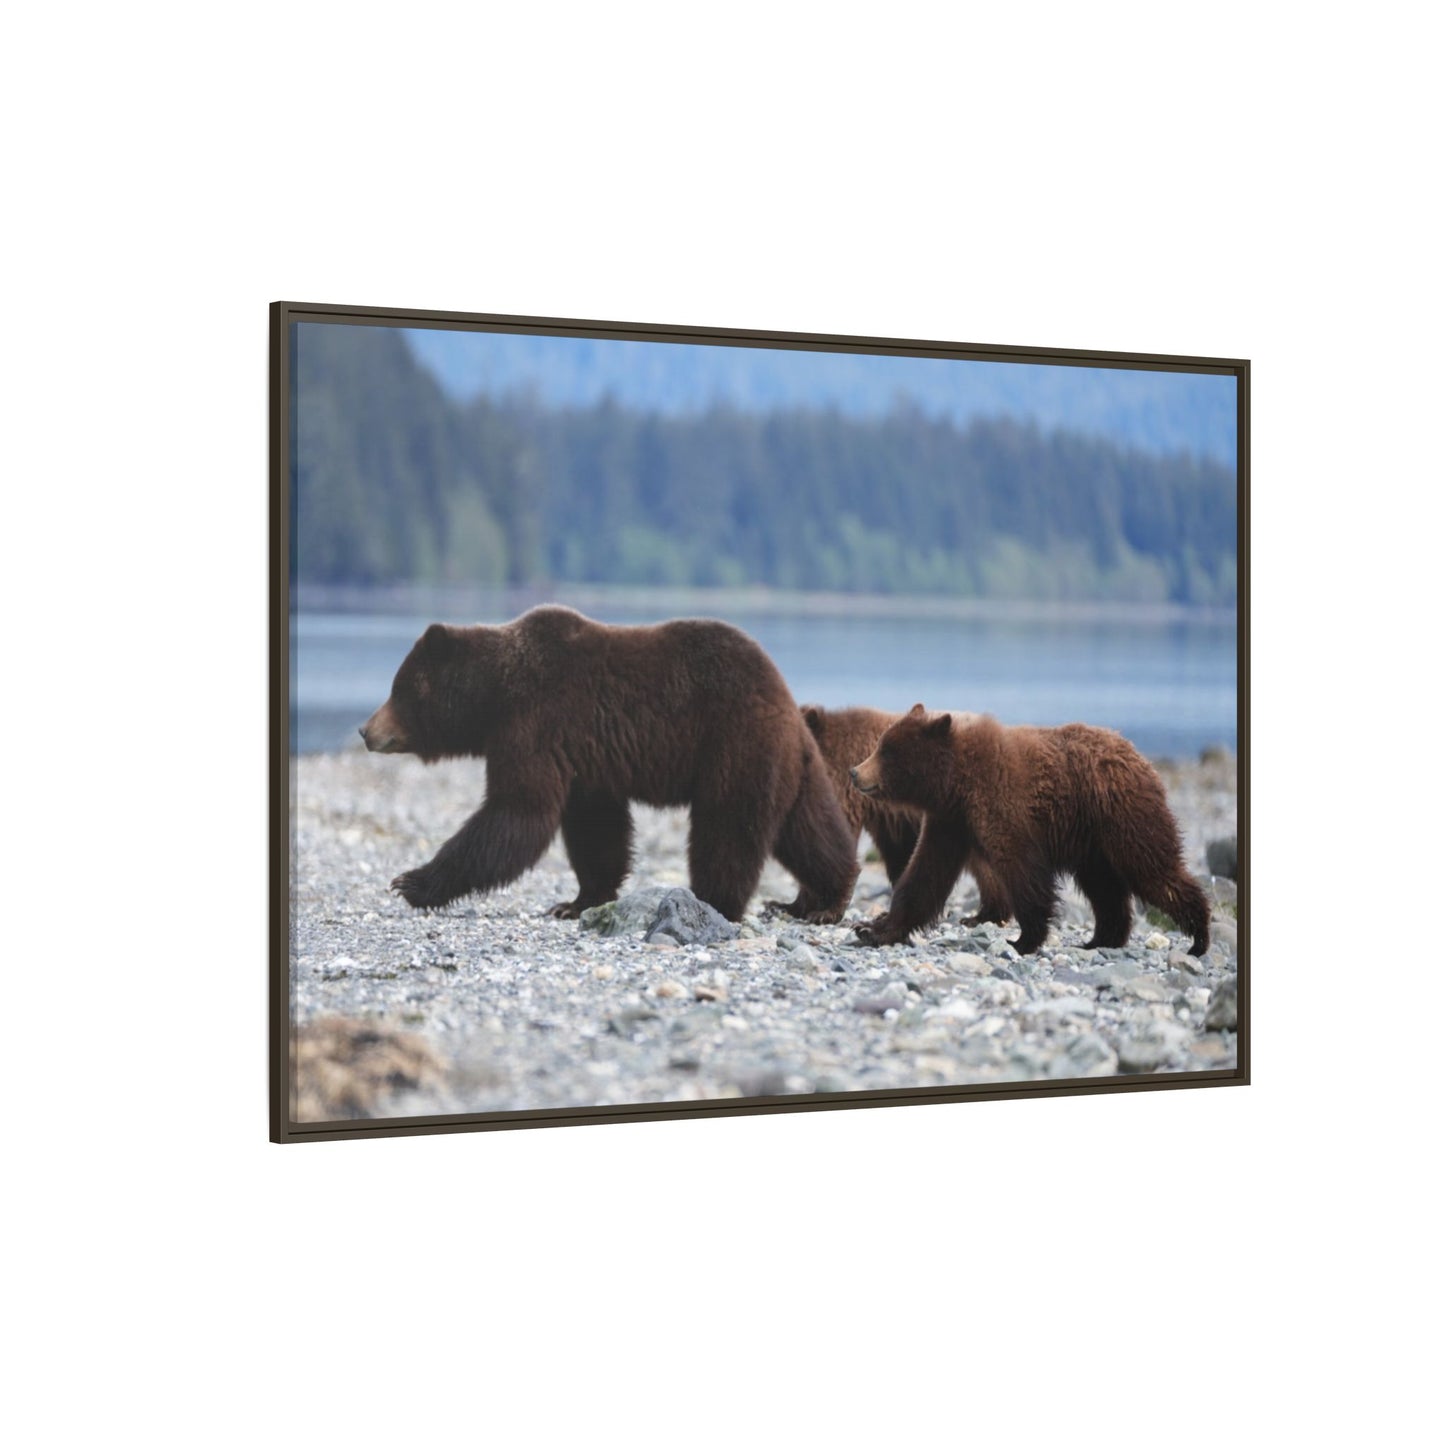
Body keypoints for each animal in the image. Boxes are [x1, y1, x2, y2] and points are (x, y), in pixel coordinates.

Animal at [359, 606, 859, 924]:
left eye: (398, 688)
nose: (365, 730)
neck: (494, 697)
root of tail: (785, 699)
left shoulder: (536, 726)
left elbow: (517, 813)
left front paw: (411, 882)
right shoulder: (586, 762)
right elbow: (595, 830)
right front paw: (576, 902)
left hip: (735, 746)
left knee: (728, 829)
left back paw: (711, 900)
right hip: (793, 765)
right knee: (810, 830)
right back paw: (820, 900)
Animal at [848, 705, 1211, 956]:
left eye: (886, 751)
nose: (855, 772)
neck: (956, 783)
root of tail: (1138, 755)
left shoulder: (1003, 806)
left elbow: (1022, 871)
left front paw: (1022, 940)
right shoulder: (950, 821)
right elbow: (924, 874)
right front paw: (872, 928)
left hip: (1122, 816)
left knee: (1153, 870)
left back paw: (1199, 937)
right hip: (1092, 843)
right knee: (1104, 888)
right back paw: (1099, 940)